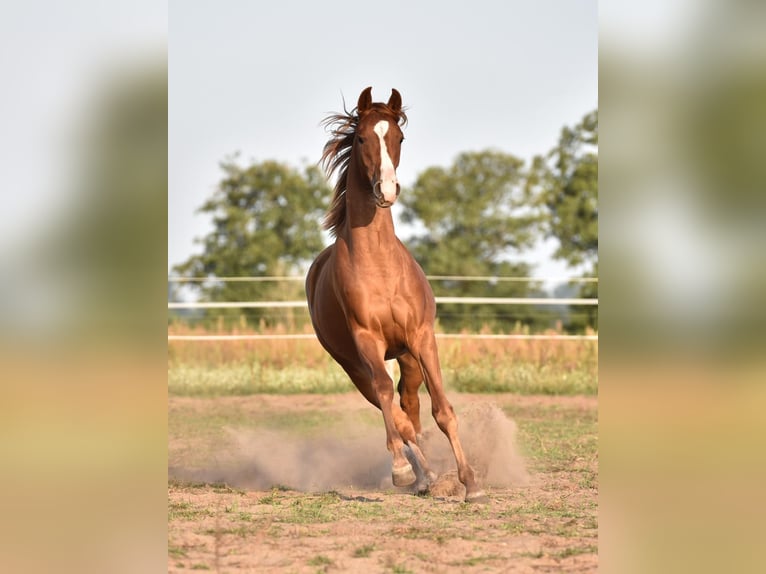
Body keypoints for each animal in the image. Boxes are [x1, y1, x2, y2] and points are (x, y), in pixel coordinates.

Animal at [305, 87, 487, 503]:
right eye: (360, 138)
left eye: (399, 138)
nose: (386, 190)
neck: (380, 266)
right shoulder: (367, 342)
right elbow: (393, 409)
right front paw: (403, 471)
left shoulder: (422, 338)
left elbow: (442, 410)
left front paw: (470, 482)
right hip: (355, 366)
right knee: (393, 409)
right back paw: (421, 476)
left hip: (406, 357)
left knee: (410, 405)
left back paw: (431, 476)